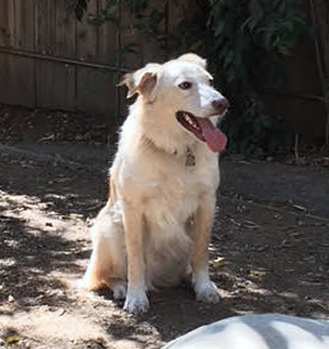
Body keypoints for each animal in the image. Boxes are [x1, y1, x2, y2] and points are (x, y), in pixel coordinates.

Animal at [82, 53, 228, 314]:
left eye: (210, 81)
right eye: (185, 85)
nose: (223, 103)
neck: (177, 151)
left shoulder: (207, 201)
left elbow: (201, 252)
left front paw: (204, 287)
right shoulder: (132, 207)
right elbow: (135, 257)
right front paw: (136, 297)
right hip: (110, 227)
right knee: (105, 275)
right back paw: (122, 287)